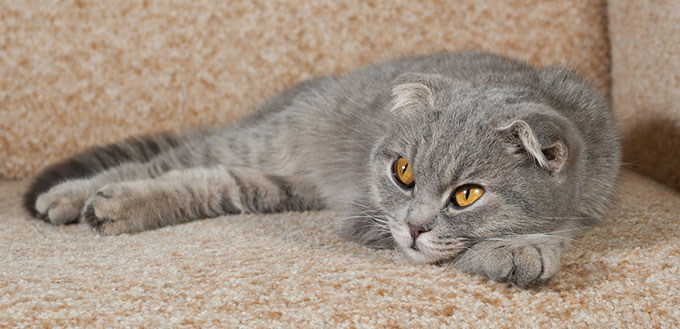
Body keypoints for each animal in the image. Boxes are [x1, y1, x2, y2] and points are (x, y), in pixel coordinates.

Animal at [22, 52, 620, 288]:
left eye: (467, 194)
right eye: (403, 172)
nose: (415, 224)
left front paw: (526, 242)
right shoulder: (369, 218)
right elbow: (450, 250)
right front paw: (516, 251)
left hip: (275, 183)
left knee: (206, 183)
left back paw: (119, 206)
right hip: (262, 142)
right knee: (164, 161)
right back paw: (71, 196)